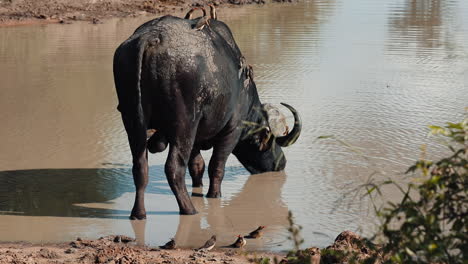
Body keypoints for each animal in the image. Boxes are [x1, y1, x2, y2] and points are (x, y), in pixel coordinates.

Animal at [115, 15, 302, 218]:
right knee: (174, 168)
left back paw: (138, 213)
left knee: (140, 167)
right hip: (184, 126)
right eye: (271, 141)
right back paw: (189, 209)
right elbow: (216, 166)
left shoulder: (197, 137)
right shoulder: (231, 131)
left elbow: (197, 165)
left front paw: (198, 189)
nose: (281, 163)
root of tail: (153, 37)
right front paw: (214, 195)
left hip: (133, 121)